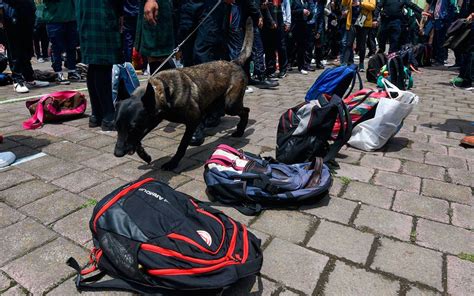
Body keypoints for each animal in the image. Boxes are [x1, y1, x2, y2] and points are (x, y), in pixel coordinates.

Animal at [113, 18, 254, 170]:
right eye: (116, 127)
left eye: (133, 128)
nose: (117, 153)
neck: (164, 90)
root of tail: (234, 62)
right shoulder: (150, 120)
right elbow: (138, 139)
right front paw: (144, 155)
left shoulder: (193, 120)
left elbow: (182, 145)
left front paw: (172, 163)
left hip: (230, 105)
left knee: (246, 110)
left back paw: (240, 131)